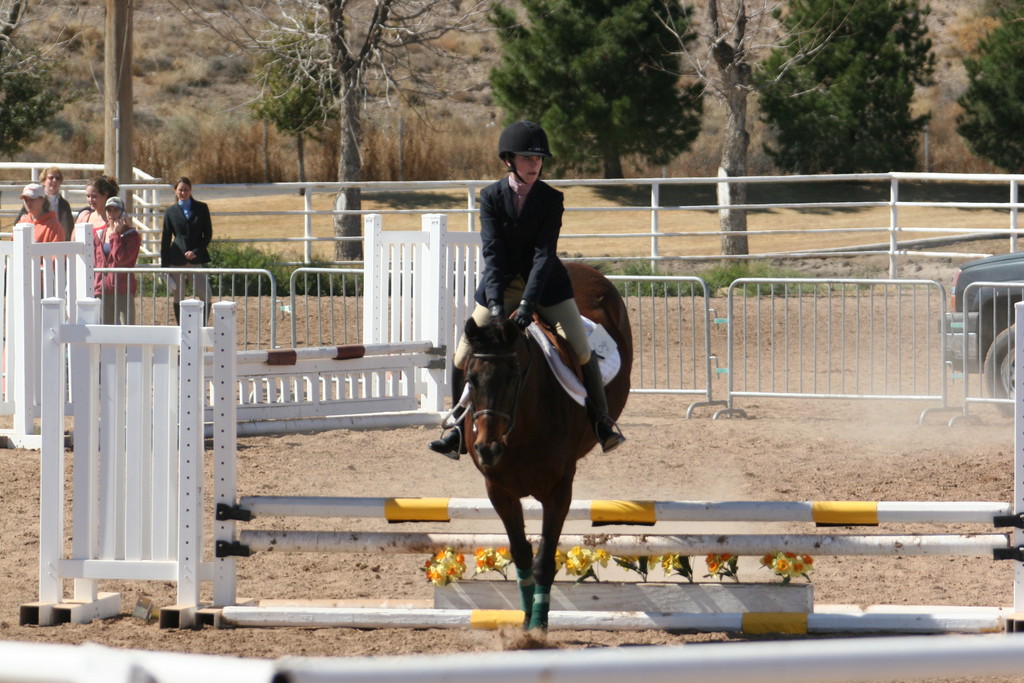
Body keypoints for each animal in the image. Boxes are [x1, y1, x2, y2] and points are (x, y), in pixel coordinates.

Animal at [460, 264, 626, 630]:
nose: (487, 449)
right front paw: (524, 622)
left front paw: (537, 627)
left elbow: (544, 560)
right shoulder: (498, 490)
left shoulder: (559, 490)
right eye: (470, 378)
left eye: (514, 377)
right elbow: (521, 553)